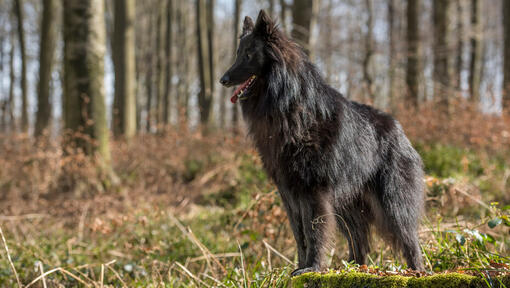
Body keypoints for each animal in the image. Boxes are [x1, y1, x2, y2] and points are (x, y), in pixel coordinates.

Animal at [221, 10, 424, 276]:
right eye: (237, 53)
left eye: (248, 54)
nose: (223, 79)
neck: (289, 109)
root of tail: (401, 132)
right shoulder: (290, 193)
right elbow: (300, 235)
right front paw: (301, 266)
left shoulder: (314, 192)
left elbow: (314, 231)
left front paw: (313, 267)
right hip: (347, 206)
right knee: (360, 242)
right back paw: (355, 268)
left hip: (391, 203)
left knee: (409, 239)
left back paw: (418, 272)